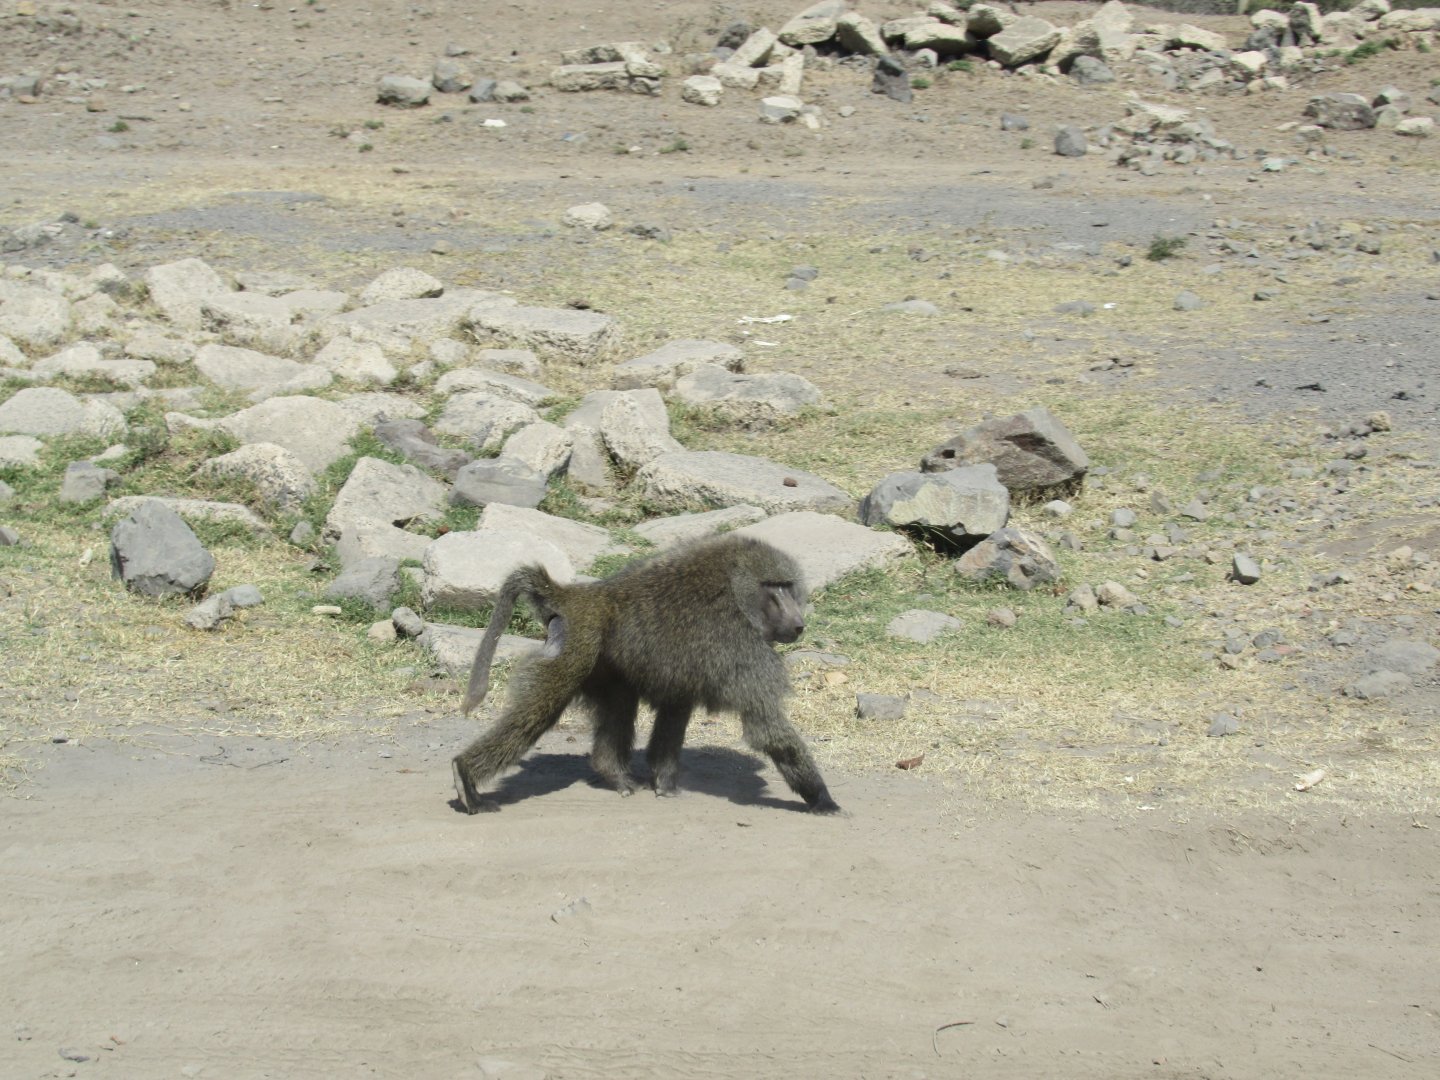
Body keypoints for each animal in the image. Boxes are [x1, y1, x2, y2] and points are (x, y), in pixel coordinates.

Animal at [451, 533, 840, 815]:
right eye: (774, 587)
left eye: (789, 586)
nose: (798, 625)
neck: (735, 587)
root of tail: (576, 597)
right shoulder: (741, 646)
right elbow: (766, 728)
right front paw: (823, 799)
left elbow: (675, 709)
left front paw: (664, 784)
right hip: (575, 648)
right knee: (537, 711)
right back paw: (465, 775)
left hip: (602, 664)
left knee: (621, 703)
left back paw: (614, 774)